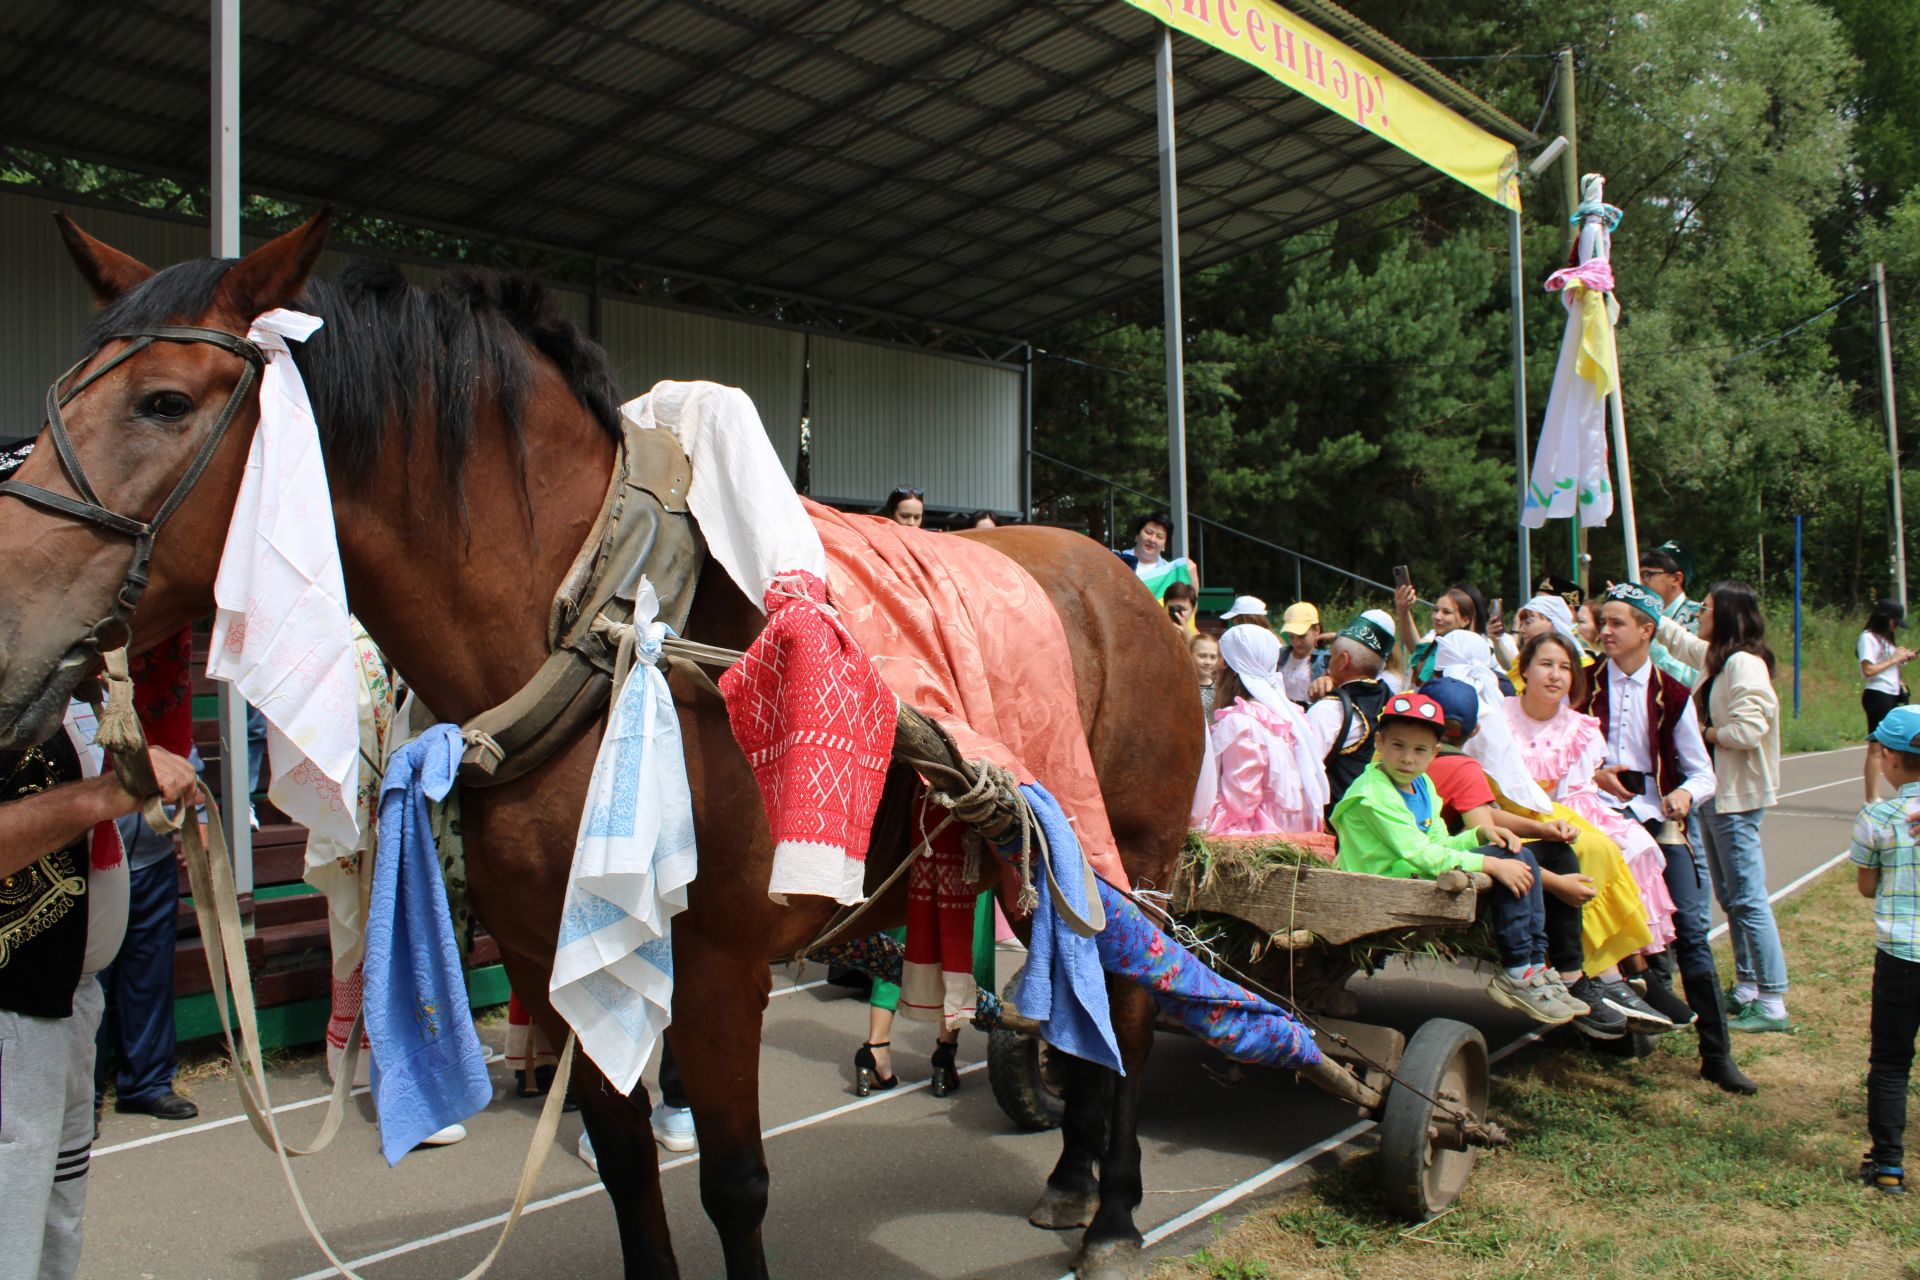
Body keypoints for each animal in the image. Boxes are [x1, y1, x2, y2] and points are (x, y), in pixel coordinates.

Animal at [0, 217, 1198, 1280]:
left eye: (162, 401)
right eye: (55, 397)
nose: (5, 636)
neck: (600, 620)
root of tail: (1128, 584)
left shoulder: (717, 967)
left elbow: (734, 1186)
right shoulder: (552, 953)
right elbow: (626, 1171)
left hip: (1132, 847)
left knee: (1136, 1013)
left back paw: (1115, 1215)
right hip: (1035, 849)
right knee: (1083, 994)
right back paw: (1072, 1181)